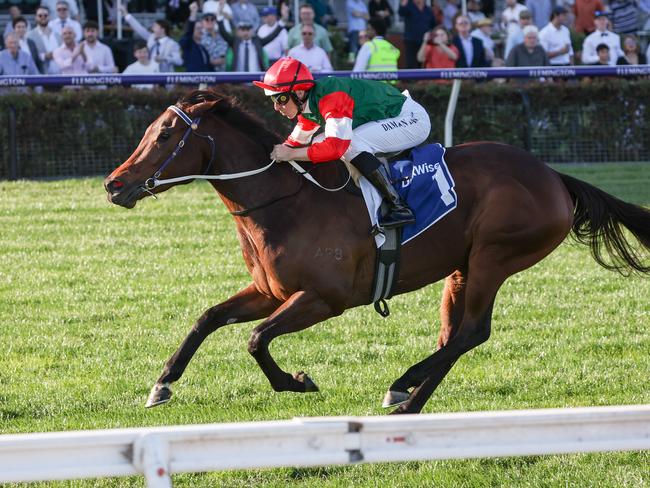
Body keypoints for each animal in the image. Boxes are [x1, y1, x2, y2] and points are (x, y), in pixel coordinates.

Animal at [104, 90, 644, 412]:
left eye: (166, 135)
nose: (113, 185)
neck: (288, 203)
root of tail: (553, 176)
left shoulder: (325, 299)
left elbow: (256, 339)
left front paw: (298, 381)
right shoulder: (270, 290)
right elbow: (208, 318)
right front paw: (162, 383)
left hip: (495, 256)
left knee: (472, 332)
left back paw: (406, 390)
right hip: (462, 267)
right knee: (454, 335)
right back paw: (407, 393)